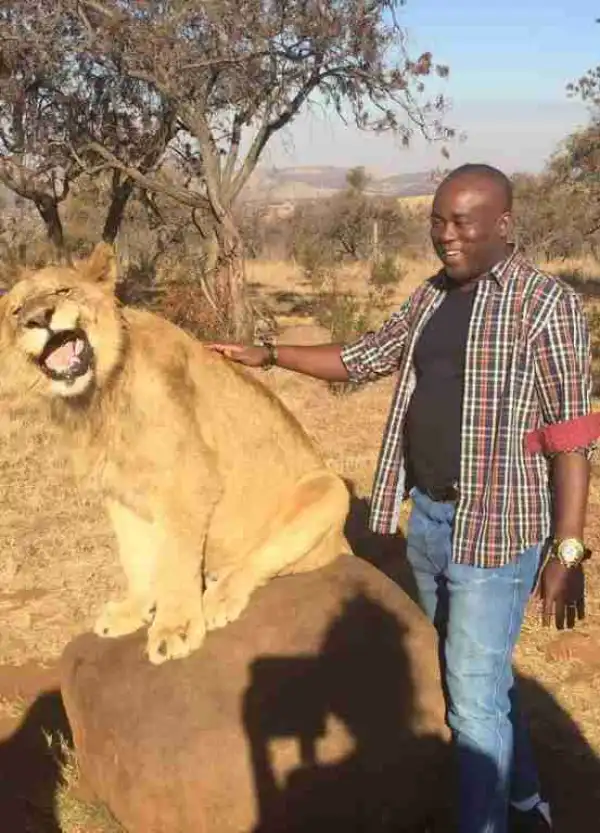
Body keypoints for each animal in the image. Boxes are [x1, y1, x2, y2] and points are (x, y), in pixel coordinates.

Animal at [0, 240, 352, 664]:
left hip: (331, 487)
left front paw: (175, 628)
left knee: (265, 562)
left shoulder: (187, 481)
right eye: (16, 310)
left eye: (63, 290)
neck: (98, 398)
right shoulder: (120, 494)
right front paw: (134, 610)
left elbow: (174, 561)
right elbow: (134, 556)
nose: (39, 318)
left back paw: (217, 597)